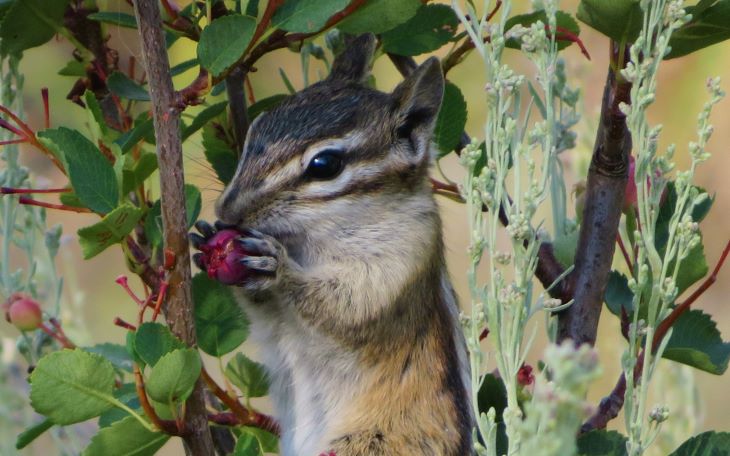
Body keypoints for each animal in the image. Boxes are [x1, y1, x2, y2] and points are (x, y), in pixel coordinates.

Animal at [192, 34, 473, 455]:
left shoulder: (405, 260)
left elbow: (347, 307)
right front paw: (206, 239)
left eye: (324, 165)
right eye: (255, 128)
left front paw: (278, 270)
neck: (310, 242)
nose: (226, 211)